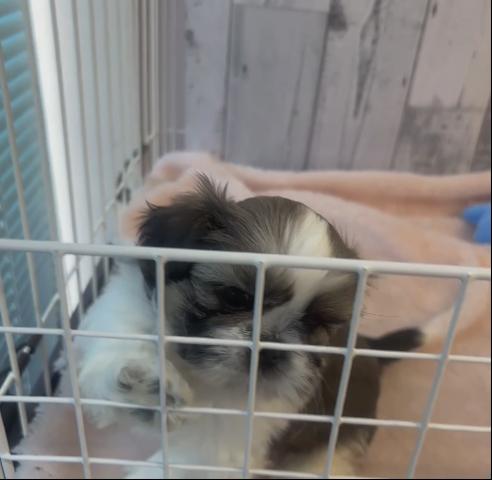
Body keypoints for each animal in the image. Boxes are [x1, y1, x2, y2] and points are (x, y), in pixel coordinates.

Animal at [76, 176, 422, 478]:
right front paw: (144, 388)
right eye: (235, 296)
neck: (204, 376)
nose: (271, 348)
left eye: (315, 323)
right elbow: (117, 345)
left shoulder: (226, 441)